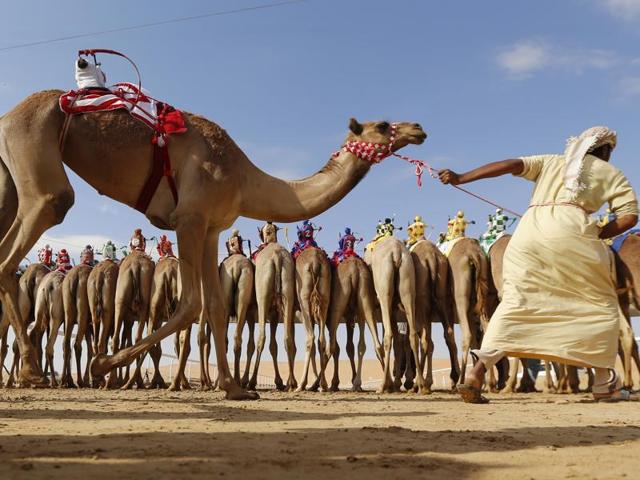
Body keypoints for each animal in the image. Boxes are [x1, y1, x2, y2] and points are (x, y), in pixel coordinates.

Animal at [109, 250, 155, 389]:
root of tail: (135, 265)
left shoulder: (129, 319)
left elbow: (126, 343)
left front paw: (123, 379)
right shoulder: (130, 319)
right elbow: (128, 343)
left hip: (121, 303)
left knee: (118, 338)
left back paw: (113, 381)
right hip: (140, 306)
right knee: (137, 339)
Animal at [220, 252, 256, 388]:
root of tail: (236, 267)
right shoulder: (250, 313)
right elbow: (251, 345)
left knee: (228, 339)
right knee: (235, 338)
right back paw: (236, 380)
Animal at [294, 247, 331, 391]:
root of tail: (315, 263)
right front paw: (316, 382)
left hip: (304, 299)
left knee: (310, 339)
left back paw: (301, 384)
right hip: (325, 298)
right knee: (322, 340)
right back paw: (323, 385)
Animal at [324, 256, 384, 391]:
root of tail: (354, 269)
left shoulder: (332, 318)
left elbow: (340, 347)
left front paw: (335, 383)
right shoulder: (350, 316)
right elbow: (350, 347)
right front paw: (352, 380)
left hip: (338, 303)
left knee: (331, 346)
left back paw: (320, 384)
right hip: (365, 298)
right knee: (375, 345)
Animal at [365, 236, 427, 393]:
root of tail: (396, 252)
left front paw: (390, 385)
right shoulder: (394, 308)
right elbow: (399, 341)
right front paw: (397, 383)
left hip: (384, 290)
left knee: (388, 336)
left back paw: (382, 386)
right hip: (408, 284)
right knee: (413, 335)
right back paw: (422, 386)